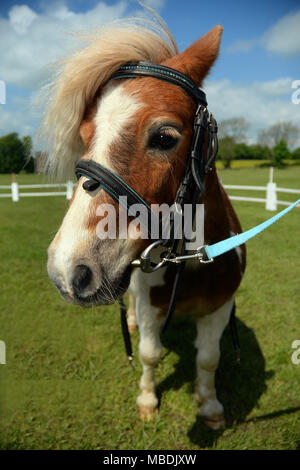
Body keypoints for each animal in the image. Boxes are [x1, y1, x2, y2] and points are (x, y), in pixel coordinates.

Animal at [44, 11, 246, 430]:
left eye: (164, 137)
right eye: (85, 136)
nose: (67, 271)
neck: (193, 264)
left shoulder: (219, 309)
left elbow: (209, 359)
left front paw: (210, 407)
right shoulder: (151, 310)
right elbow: (150, 353)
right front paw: (148, 401)